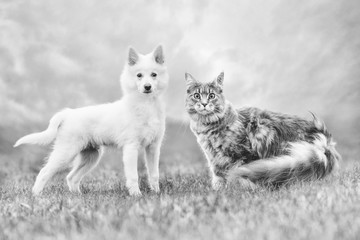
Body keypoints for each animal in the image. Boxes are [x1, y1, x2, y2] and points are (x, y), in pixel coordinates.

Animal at [14, 45, 169, 197]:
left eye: (154, 74)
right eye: (139, 75)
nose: (147, 87)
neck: (146, 106)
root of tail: (68, 113)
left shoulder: (153, 148)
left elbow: (154, 174)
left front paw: (156, 193)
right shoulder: (131, 147)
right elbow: (133, 176)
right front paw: (136, 195)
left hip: (90, 156)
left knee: (71, 177)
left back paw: (77, 196)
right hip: (66, 152)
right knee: (44, 172)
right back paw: (36, 195)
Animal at [186, 71, 340, 189]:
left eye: (211, 96)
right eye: (196, 96)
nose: (204, 104)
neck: (208, 127)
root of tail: (324, 140)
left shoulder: (243, 153)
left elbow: (236, 171)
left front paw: (237, 187)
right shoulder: (213, 158)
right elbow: (218, 176)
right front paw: (219, 190)